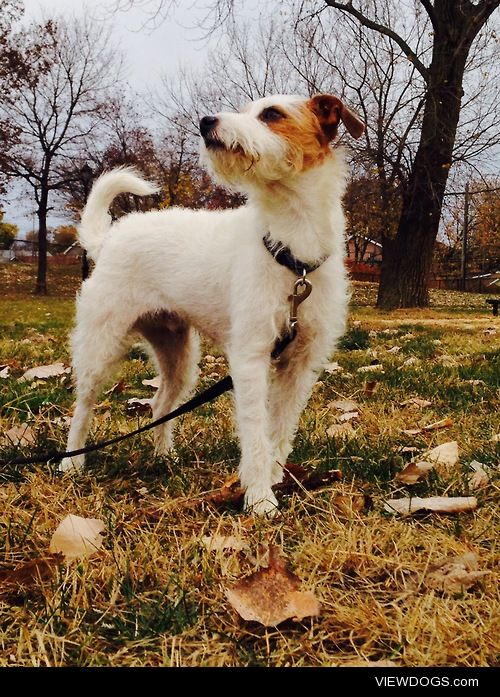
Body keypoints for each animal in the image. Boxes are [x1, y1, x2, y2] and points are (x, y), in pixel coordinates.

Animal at [60, 94, 364, 512]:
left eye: (272, 114)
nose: (205, 122)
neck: (292, 251)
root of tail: (110, 238)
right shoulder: (250, 358)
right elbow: (255, 434)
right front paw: (260, 500)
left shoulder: (301, 365)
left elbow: (279, 432)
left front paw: (274, 480)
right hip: (100, 348)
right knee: (83, 408)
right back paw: (72, 465)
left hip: (179, 357)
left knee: (160, 405)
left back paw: (164, 459)